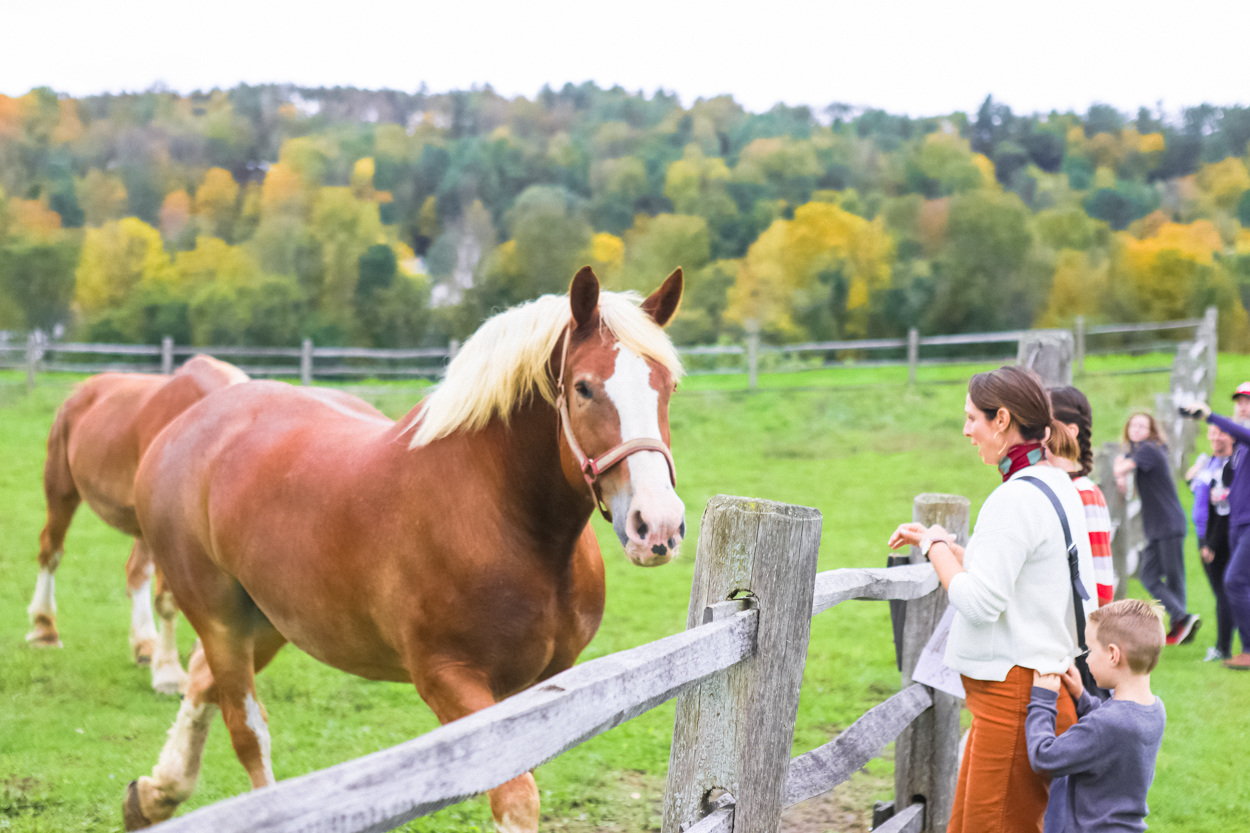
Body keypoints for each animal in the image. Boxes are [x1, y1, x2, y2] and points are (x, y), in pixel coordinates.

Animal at [26, 352, 248, 690]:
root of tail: (82, 390)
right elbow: (170, 600)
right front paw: (169, 674)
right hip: (61, 489)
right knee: (50, 551)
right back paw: (44, 629)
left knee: (136, 571)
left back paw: (145, 645)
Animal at [123, 267, 690, 830]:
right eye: (584, 388)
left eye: (669, 385)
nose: (656, 525)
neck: (503, 518)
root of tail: (180, 430)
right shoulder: (449, 679)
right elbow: (517, 798)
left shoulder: (547, 684)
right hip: (221, 621)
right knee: (247, 732)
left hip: (267, 621)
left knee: (203, 681)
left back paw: (153, 795)